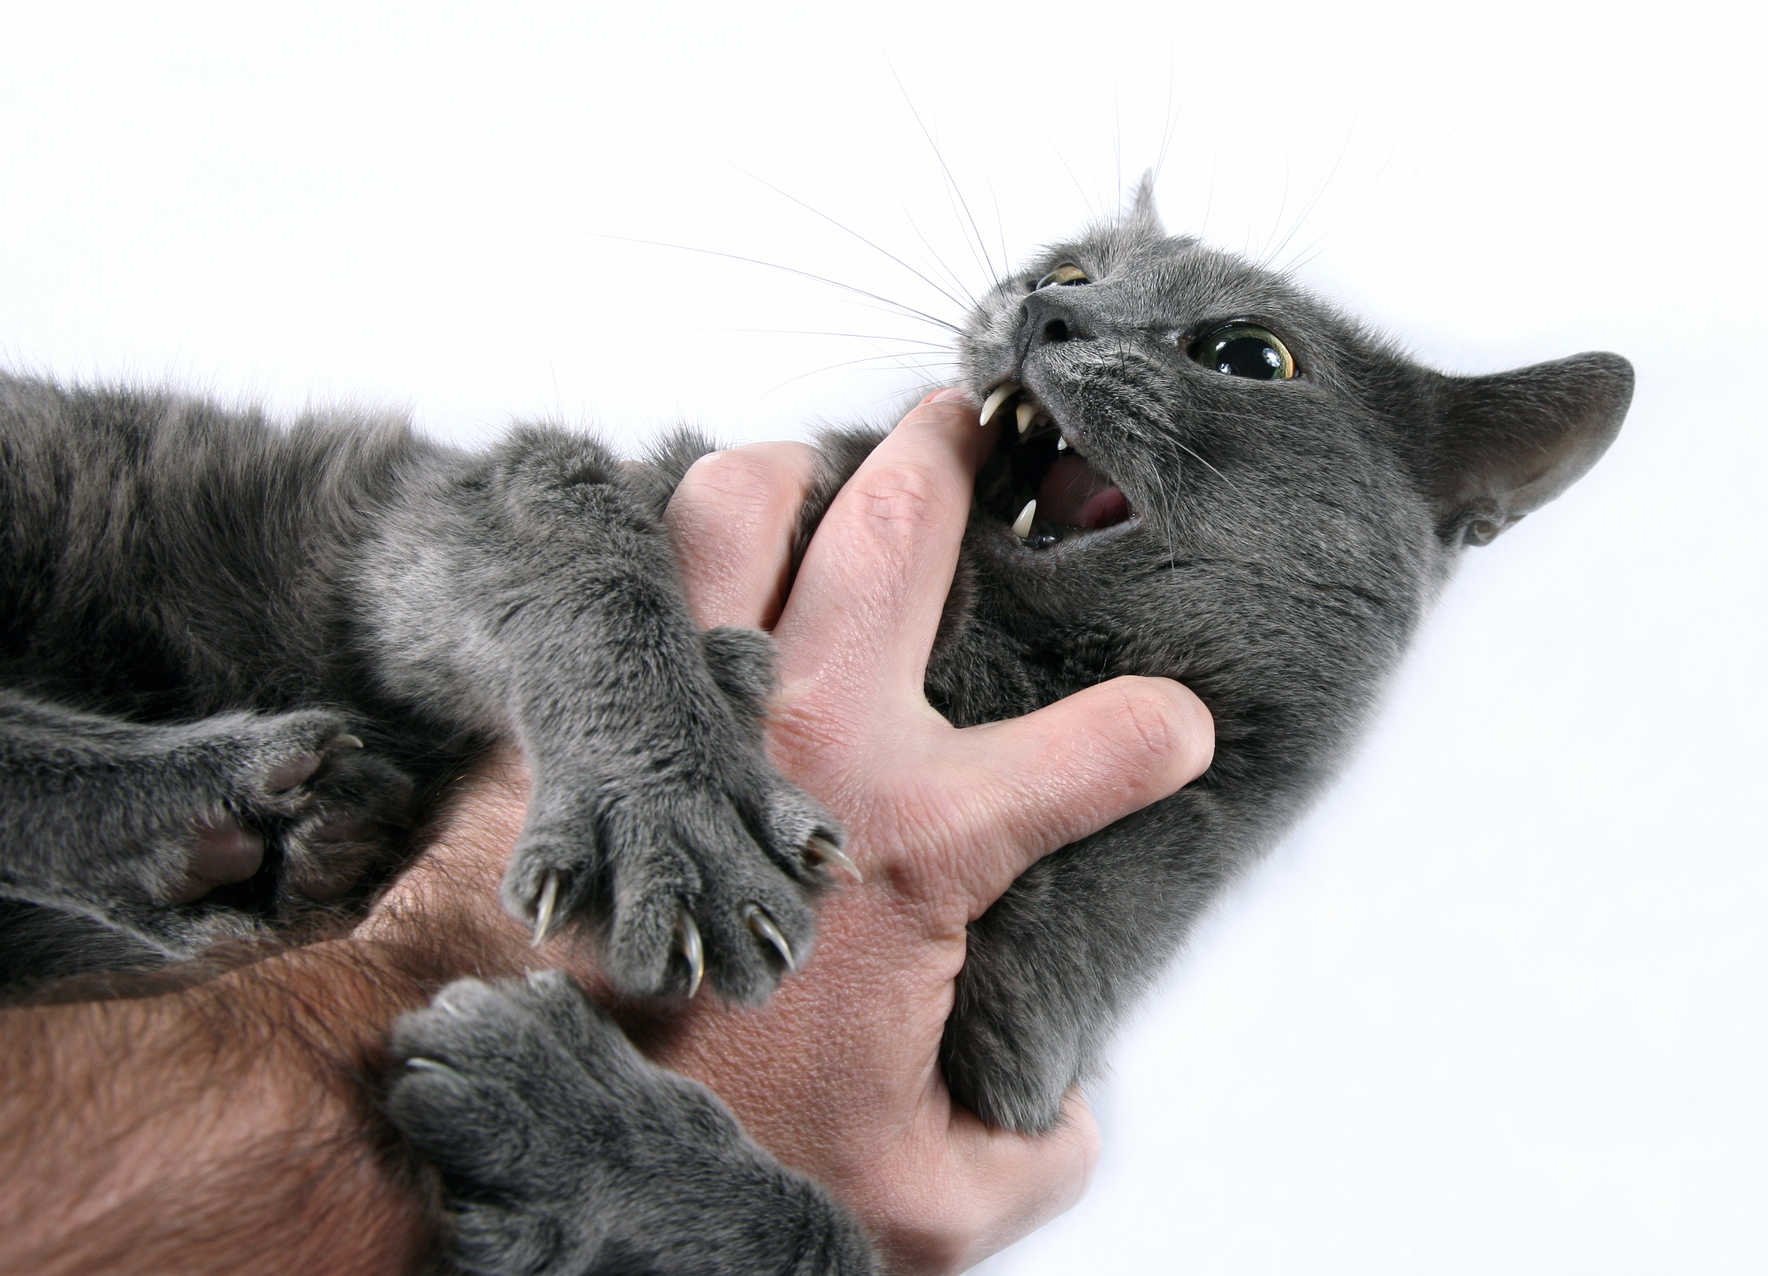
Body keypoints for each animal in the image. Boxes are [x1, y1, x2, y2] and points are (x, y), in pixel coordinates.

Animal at [0, 183, 1626, 1265]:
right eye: (1073, 263)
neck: (998, 671)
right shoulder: (472, 518)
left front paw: (575, 1122)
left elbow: (835, 1234)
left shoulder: (1007, 1076)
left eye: (1246, 356)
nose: (1043, 306)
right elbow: (568, 522)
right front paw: (673, 805)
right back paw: (224, 800)